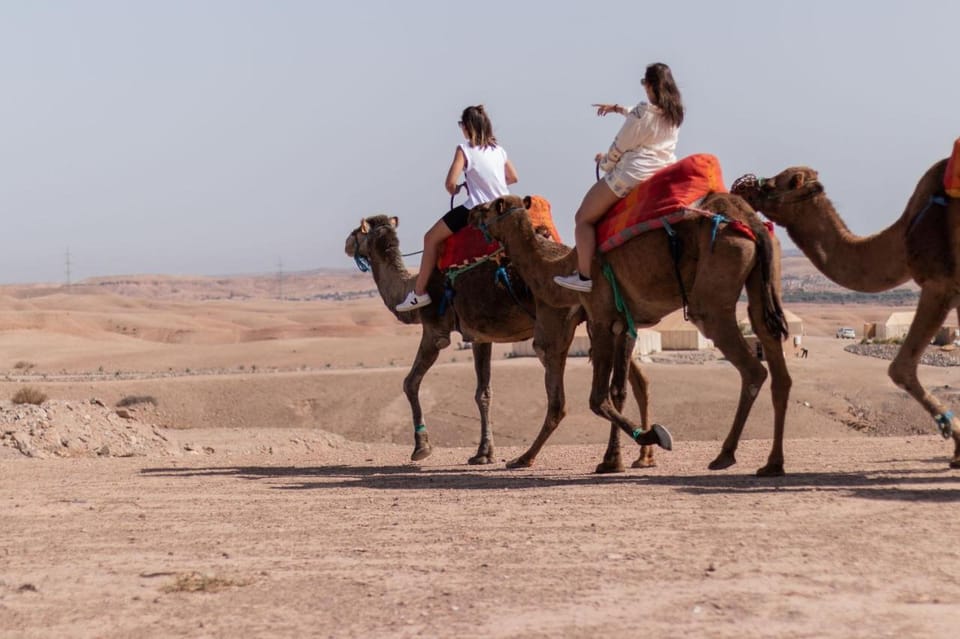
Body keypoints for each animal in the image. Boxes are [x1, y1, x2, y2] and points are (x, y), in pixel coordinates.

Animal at [342, 218, 672, 472]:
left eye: (357, 231)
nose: (345, 243)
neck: (409, 287)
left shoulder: (435, 331)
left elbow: (410, 382)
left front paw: (421, 447)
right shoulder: (480, 336)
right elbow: (483, 393)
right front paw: (482, 453)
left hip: (559, 322)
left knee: (560, 397)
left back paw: (528, 458)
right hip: (604, 322)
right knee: (630, 385)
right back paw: (632, 457)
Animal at [472, 192, 796, 478]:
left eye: (487, 209)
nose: (472, 214)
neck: (560, 269)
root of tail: (751, 223)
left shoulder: (601, 317)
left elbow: (598, 398)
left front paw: (651, 437)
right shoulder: (623, 323)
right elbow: (618, 390)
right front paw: (613, 460)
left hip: (713, 297)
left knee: (752, 369)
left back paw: (725, 455)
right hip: (763, 283)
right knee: (774, 357)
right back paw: (772, 464)